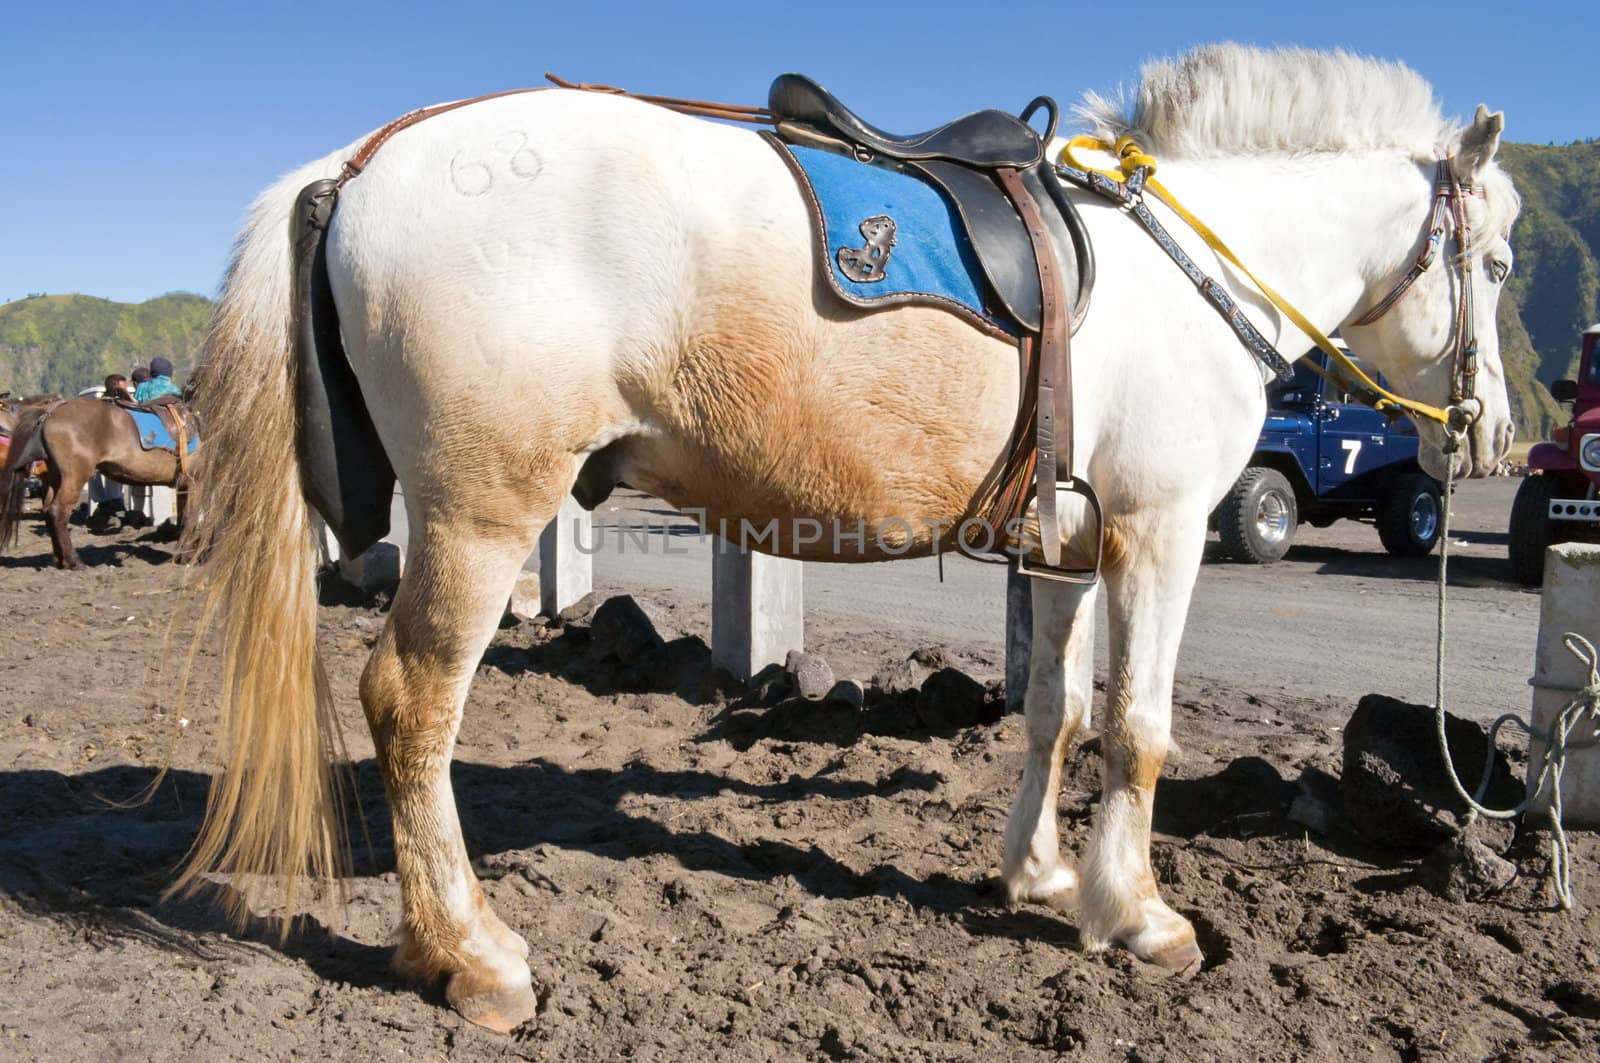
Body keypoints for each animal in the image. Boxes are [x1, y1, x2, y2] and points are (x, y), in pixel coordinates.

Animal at [0, 397, 201, 563]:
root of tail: (51, 411)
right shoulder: (195, 483)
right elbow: (191, 518)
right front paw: (184, 556)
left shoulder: (184, 486)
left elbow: (185, 518)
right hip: (75, 477)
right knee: (58, 511)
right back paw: (73, 561)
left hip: (54, 477)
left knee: (48, 511)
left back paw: (59, 560)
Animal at [181, 47, 1516, 1030]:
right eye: (1498, 262)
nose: (1489, 433)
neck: (1177, 267)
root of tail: (363, 159)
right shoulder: (1161, 530)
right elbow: (1136, 731)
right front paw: (1138, 915)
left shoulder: (1068, 548)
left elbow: (1055, 712)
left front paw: (1040, 875)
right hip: (479, 513)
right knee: (410, 702)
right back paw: (468, 953)